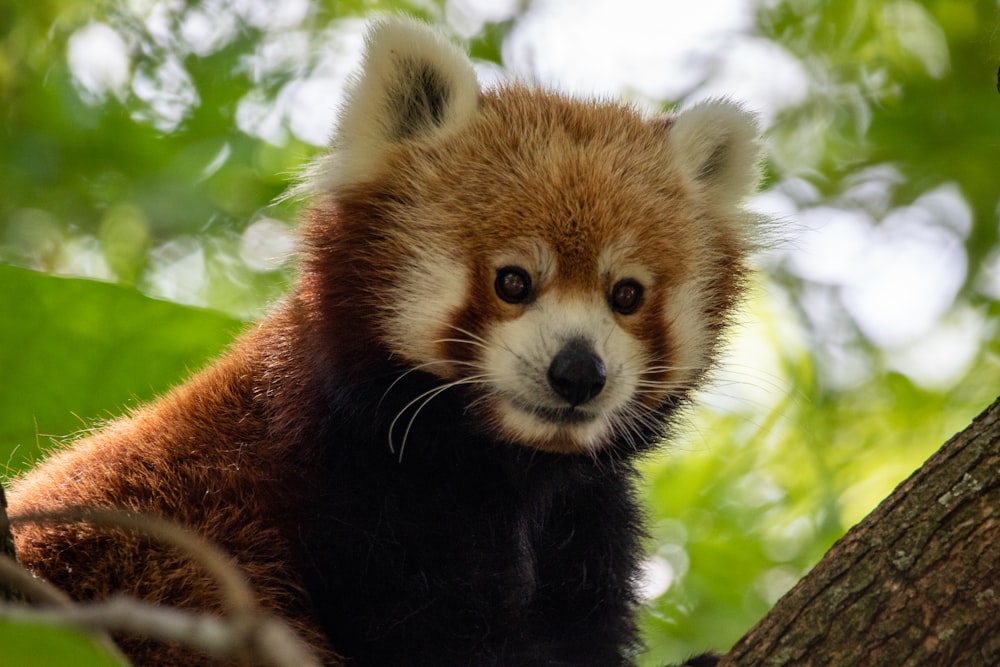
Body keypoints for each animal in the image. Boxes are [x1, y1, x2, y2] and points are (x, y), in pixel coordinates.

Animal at [7, 17, 760, 667]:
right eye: (513, 281)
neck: (507, 467)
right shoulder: (344, 485)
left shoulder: (584, 520)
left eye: (626, 294)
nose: (578, 372)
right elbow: (424, 635)